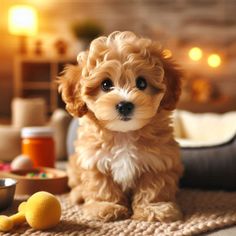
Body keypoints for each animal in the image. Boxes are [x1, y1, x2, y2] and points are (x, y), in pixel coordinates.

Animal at [58, 31, 183, 223]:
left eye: (141, 83)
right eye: (105, 84)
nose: (124, 105)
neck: (124, 134)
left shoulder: (158, 161)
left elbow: (154, 186)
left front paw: (154, 208)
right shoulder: (95, 159)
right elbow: (102, 186)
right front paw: (107, 207)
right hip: (73, 165)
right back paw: (79, 195)